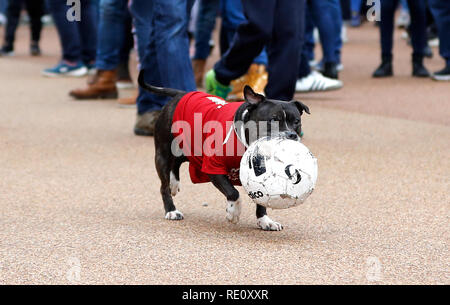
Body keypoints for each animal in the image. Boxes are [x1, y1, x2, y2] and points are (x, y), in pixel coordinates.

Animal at [139, 70, 310, 230]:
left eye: (297, 122)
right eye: (273, 120)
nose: (291, 135)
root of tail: (180, 94)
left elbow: (261, 200)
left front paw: (265, 221)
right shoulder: (213, 168)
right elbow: (233, 192)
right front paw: (233, 213)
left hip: (188, 148)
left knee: (176, 164)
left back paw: (174, 183)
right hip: (163, 153)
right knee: (163, 185)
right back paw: (171, 209)